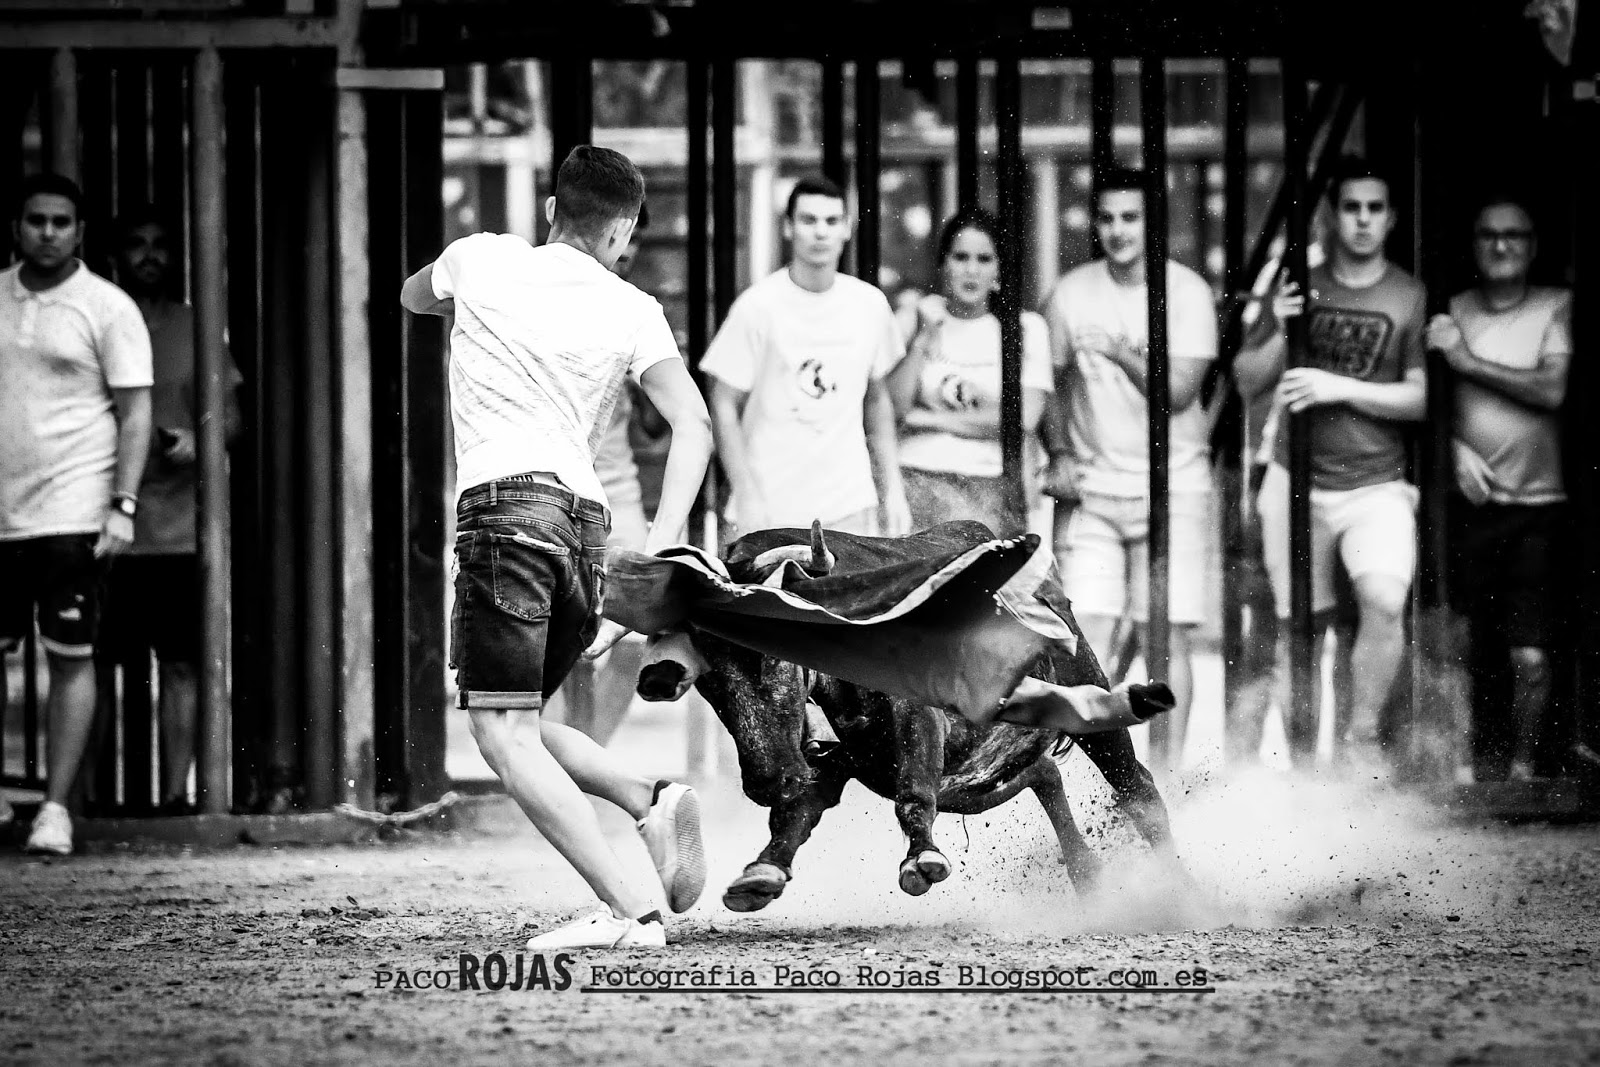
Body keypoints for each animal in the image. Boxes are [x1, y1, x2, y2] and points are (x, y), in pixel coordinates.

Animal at [635, 526, 1183, 913]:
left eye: (772, 652)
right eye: (708, 679)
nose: (768, 780)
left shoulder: (917, 722)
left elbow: (914, 793)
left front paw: (923, 857)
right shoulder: (832, 761)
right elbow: (798, 813)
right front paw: (762, 872)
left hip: (1089, 698)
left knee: (1138, 787)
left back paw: (1181, 888)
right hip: (981, 780)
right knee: (1045, 775)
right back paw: (1088, 875)